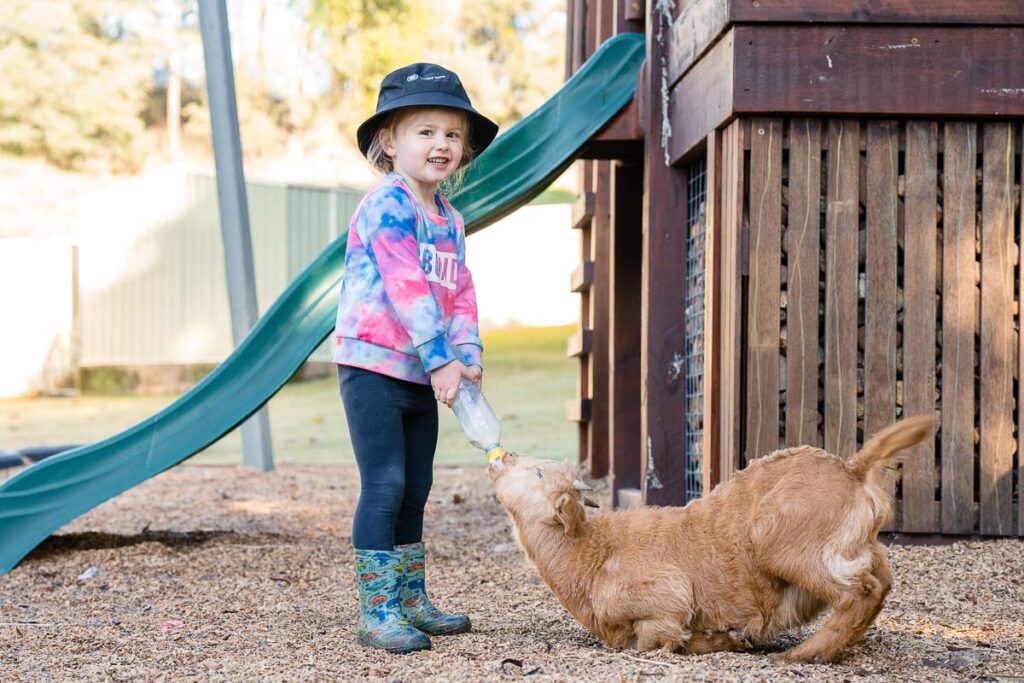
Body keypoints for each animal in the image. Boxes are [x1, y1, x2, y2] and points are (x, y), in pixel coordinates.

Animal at [488, 415, 934, 663]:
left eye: (539, 473)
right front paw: (731, 639)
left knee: (862, 590)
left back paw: (801, 655)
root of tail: (853, 470)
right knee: (880, 583)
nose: (502, 457)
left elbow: (658, 639)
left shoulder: (665, 598)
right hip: (856, 547)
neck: (591, 555)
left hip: (785, 545)